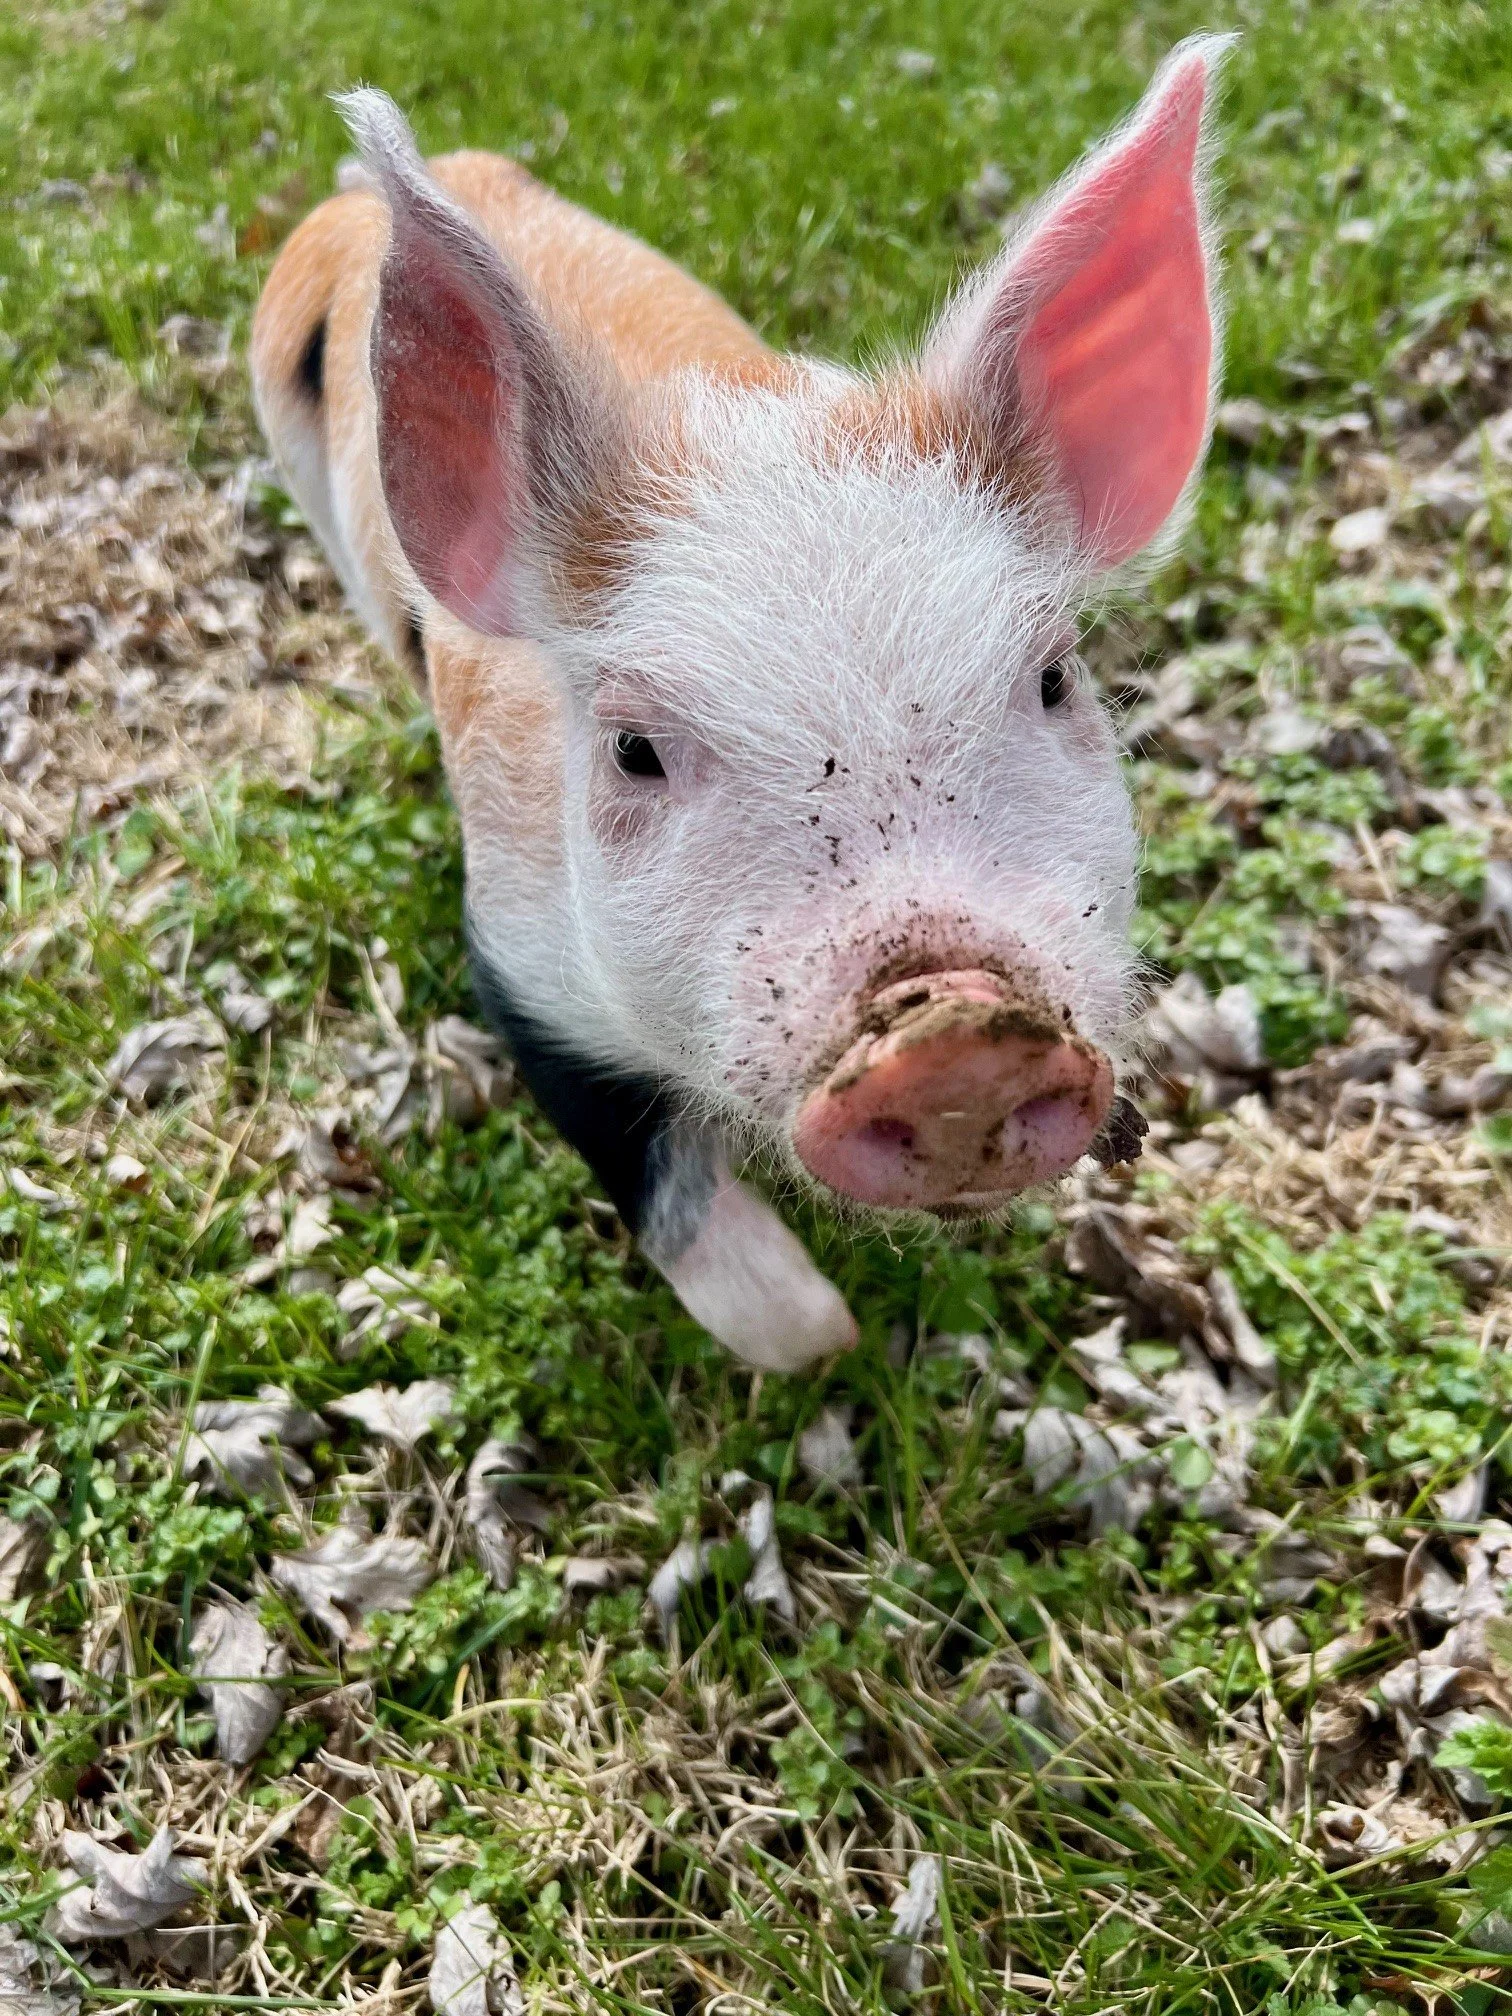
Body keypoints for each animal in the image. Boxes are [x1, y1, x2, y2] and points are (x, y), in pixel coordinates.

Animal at [251, 38, 1229, 1372]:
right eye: (633, 751)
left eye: (1051, 678)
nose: (953, 1032)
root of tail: (358, 204)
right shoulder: (519, 953)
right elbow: (694, 1220)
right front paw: (838, 1339)